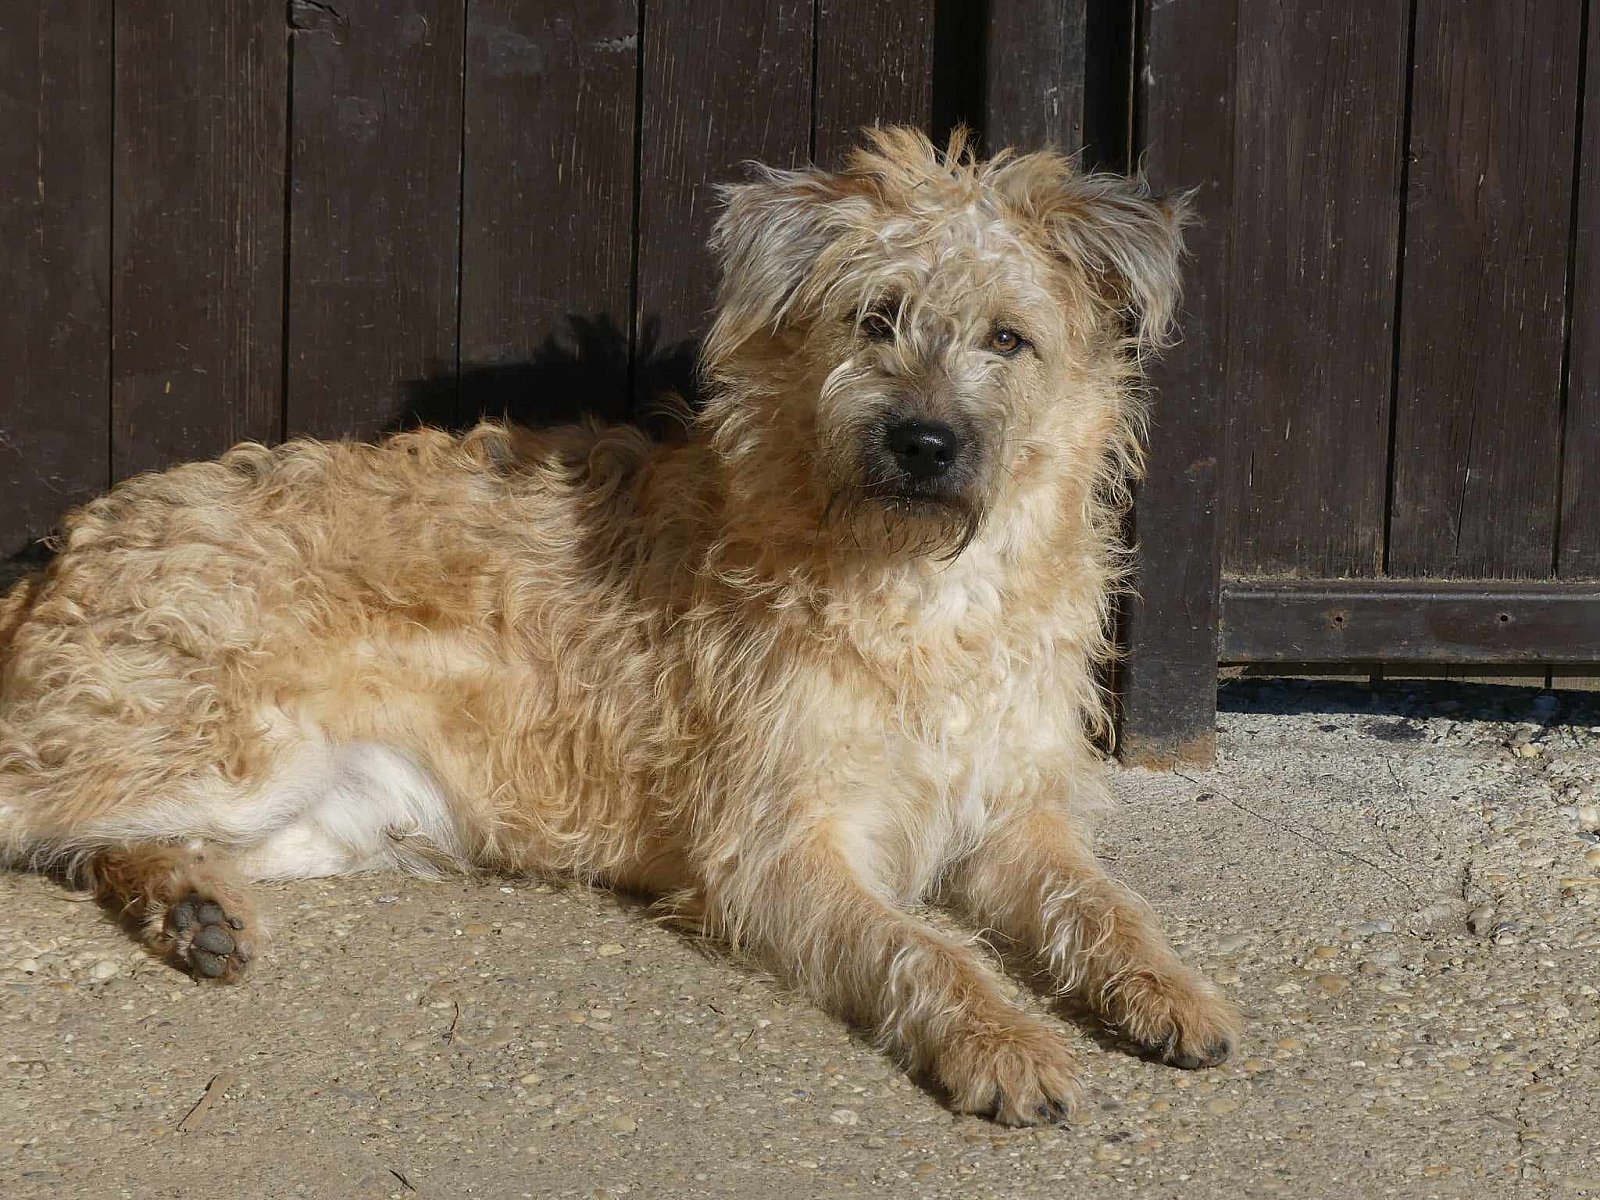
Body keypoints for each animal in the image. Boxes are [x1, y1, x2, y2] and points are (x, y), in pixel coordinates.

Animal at [0, 128, 1238, 1126]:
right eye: (873, 319)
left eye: (1008, 340)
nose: (923, 442)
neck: (922, 586)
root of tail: (63, 548)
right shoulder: (777, 845)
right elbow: (920, 947)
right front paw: (1001, 1038)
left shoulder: (1014, 811)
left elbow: (1100, 900)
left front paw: (1167, 987)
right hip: (229, 748)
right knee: (39, 813)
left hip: (309, 805)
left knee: (105, 838)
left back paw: (192, 908)